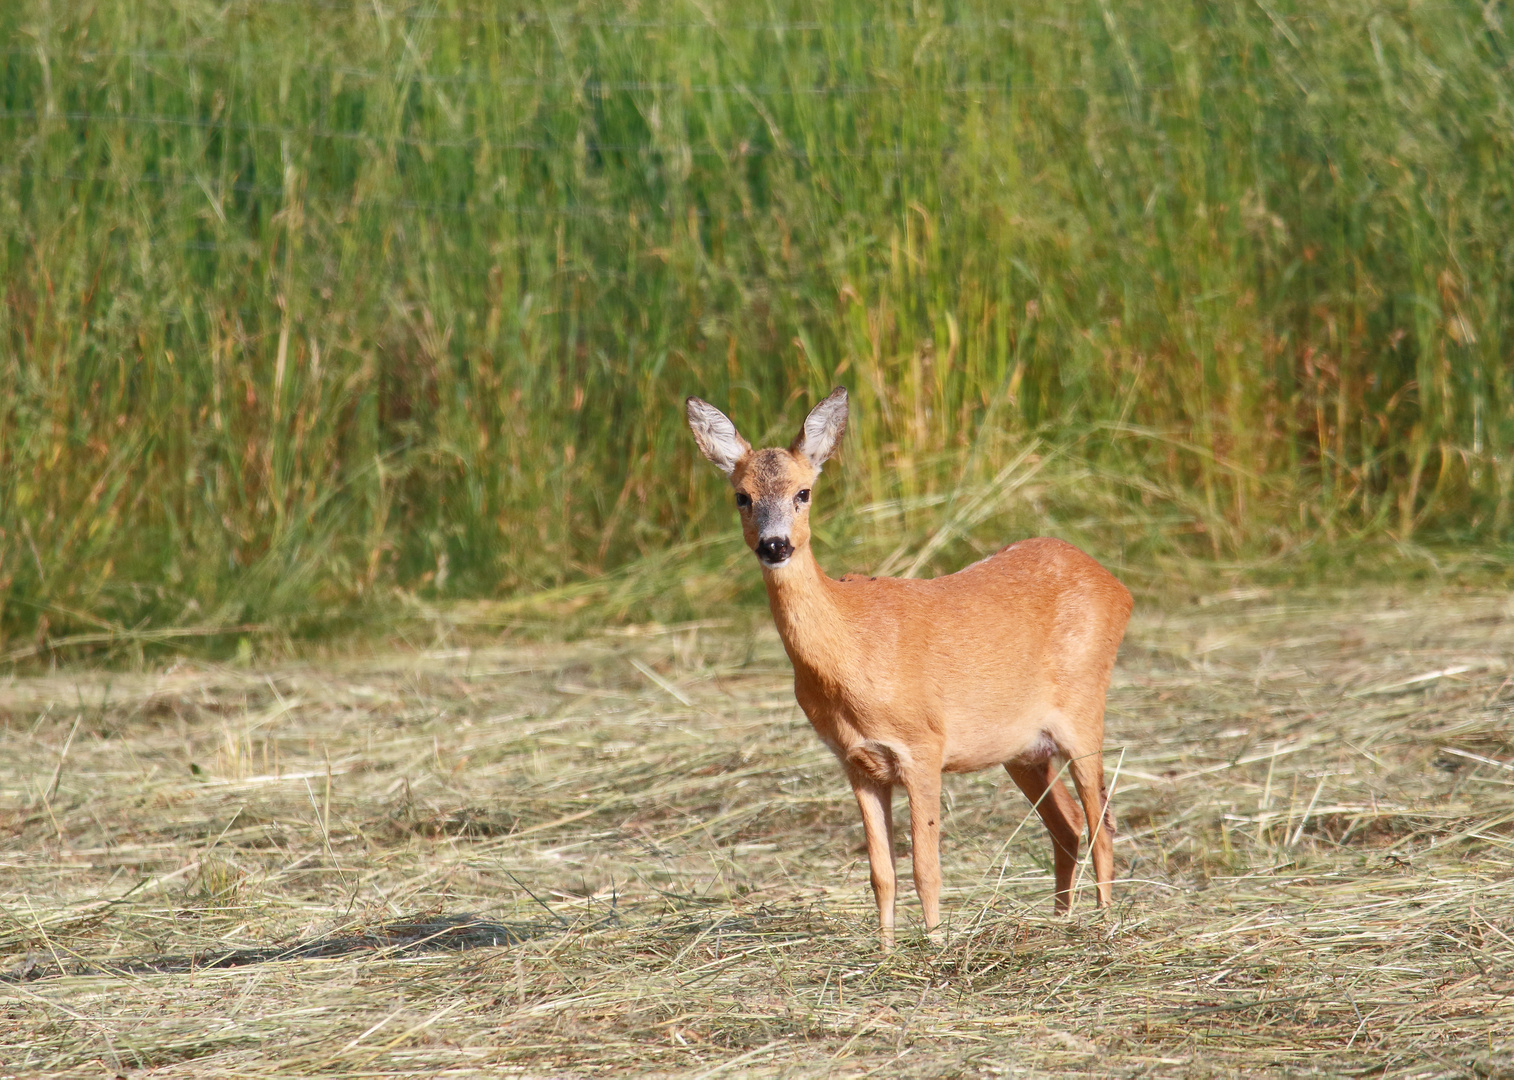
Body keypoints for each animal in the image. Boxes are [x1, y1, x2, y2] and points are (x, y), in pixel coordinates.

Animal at [693, 387, 1132, 945]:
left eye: (804, 492)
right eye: (741, 496)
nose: (775, 545)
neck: (852, 650)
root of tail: (1118, 587)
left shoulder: (924, 745)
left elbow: (927, 864)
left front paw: (936, 943)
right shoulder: (857, 761)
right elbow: (882, 872)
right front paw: (884, 949)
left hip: (1083, 706)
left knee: (1101, 822)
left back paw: (1103, 923)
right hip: (1023, 748)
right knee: (1069, 825)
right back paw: (1062, 921)